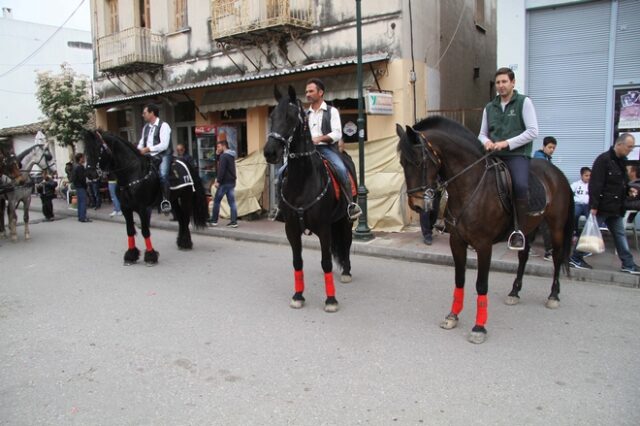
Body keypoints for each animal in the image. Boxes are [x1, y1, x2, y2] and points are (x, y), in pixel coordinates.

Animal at [82, 131, 208, 262]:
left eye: (98, 149)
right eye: (86, 151)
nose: (89, 174)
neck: (132, 175)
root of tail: (185, 163)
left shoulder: (143, 209)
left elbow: (145, 231)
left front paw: (150, 256)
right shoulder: (126, 208)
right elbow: (130, 230)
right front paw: (131, 255)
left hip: (185, 197)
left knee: (186, 218)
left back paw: (186, 243)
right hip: (173, 200)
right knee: (181, 219)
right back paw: (181, 242)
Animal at [264, 86, 356, 312]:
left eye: (290, 117)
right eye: (272, 116)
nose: (270, 152)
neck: (302, 181)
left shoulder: (323, 227)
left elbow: (326, 262)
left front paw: (331, 300)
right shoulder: (291, 229)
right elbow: (297, 262)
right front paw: (298, 295)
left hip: (346, 220)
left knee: (346, 243)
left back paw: (347, 272)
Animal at [396, 116, 576, 342]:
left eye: (419, 162)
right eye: (402, 163)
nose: (417, 206)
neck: (470, 186)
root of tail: (556, 172)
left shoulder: (483, 245)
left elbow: (481, 284)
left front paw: (479, 327)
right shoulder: (457, 241)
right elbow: (460, 279)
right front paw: (453, 316)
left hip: (556, 226)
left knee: (558, 257)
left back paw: (553, 295)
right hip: (528, 227)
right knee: (523, 256)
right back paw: (514, 292)